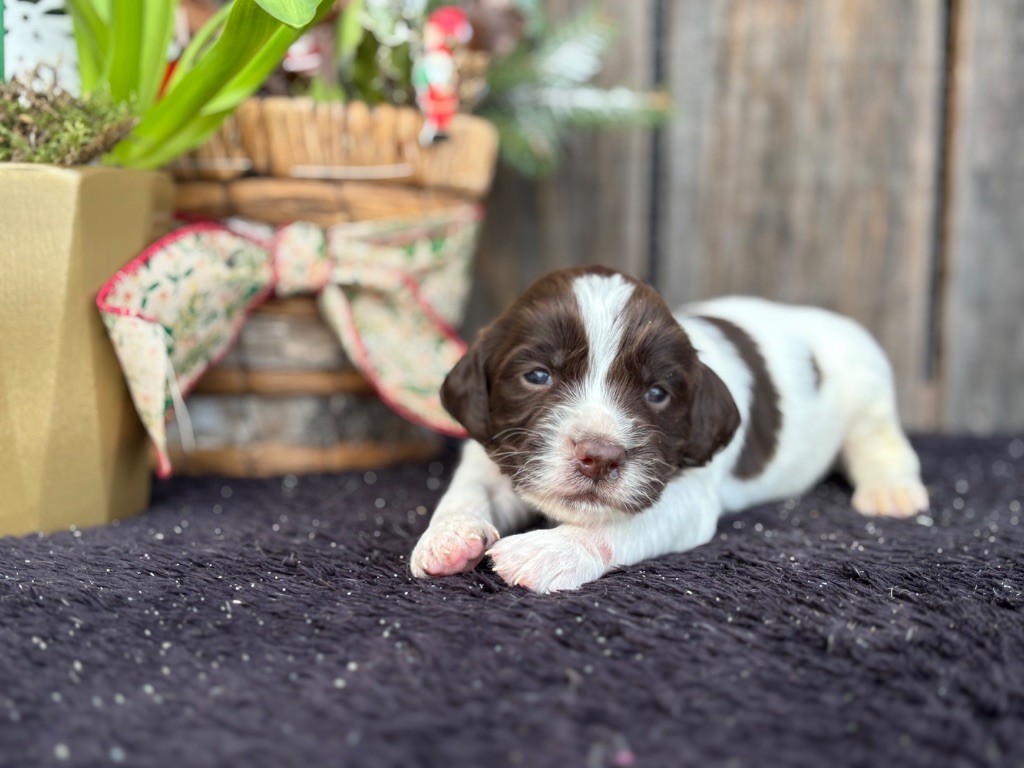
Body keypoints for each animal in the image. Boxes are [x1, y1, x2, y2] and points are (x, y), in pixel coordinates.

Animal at [407, 268, 929, 593]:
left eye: (657, 393)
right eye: (538, 375)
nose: (599, 457)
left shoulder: (688, 494)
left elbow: (614, 522)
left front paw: (548, 550)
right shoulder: (493, 453)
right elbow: (468, 490)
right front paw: (450, 537)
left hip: (869, 391)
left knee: (882, 443)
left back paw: (891, 491)